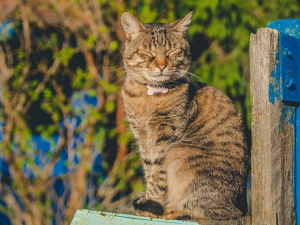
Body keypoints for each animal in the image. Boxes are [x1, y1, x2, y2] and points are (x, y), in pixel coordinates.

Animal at [119, 11, 248, 221]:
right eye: (147, 53)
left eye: (172, 52)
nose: (162, 66)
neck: (149, 97)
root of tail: (242, 208)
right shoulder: (142, 138)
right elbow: (149, 170)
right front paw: (148, 202)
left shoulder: (167, 137)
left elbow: (158, 175)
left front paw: (152, 205)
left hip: (181, 154)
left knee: (202, 211)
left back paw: (169, 210)